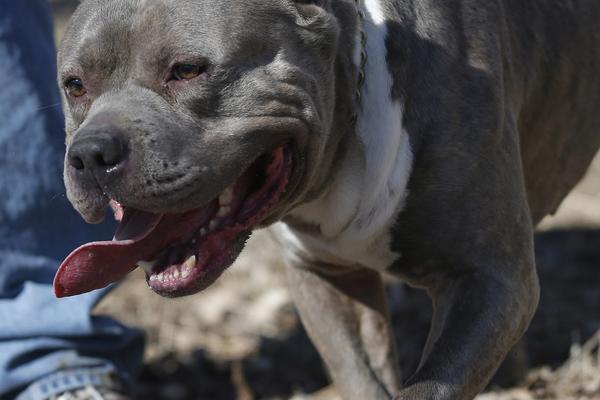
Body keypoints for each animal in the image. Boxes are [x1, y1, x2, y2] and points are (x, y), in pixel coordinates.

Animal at [54, 0, 600, 398]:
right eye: (74, 85)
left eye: (187, 69)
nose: (91, 154)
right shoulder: (327, 277)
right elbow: (363, 378)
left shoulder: (491, 280)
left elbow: (428, 387)